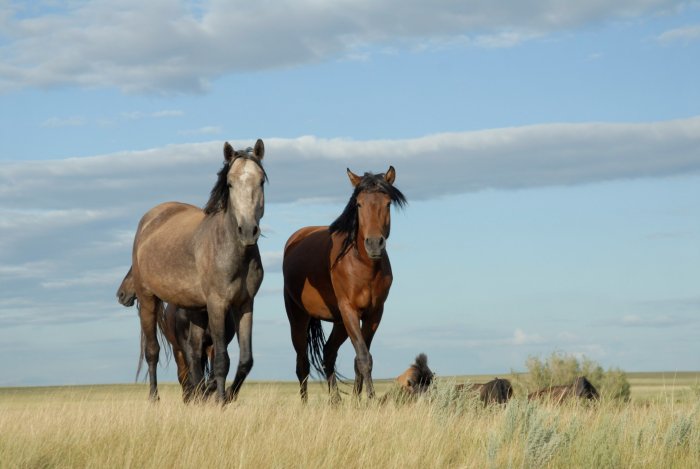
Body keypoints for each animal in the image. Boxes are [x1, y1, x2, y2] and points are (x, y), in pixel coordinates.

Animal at [127, 141, 266, 400]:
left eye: (261, 181)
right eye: (229, 184)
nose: (248, 231)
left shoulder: (245, 304)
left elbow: (245, 360)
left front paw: (227, 395)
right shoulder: (217, 304)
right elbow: (221, 360)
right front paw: (221, 400)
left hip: (195, 310)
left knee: (194, 355)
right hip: (149, 299)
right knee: (153, 351)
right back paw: (154, 398)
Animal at [284, 166, 408, 400]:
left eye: (387, 203)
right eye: (358, 204)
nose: (374, 243)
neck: (363, 265)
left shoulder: (374, 313)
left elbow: (360, 359)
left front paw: (359, 401)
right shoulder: (349, 310)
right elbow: (363, 357)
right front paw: (371, 399)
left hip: (339, 322)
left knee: (328, 353)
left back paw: (336, 402)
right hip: (298, 317)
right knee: (302, 364)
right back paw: (305, 403)